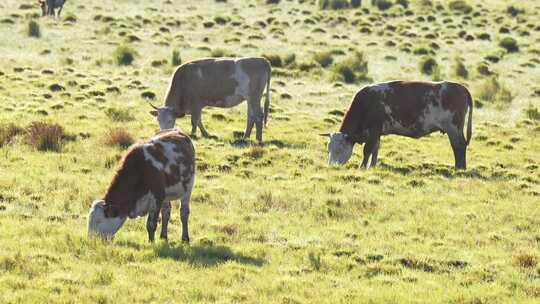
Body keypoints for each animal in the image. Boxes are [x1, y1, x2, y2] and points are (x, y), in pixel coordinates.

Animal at [320, 80, 472, 169]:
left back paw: (459, 168)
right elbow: (375, 149)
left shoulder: (374, 130)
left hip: (453, 128)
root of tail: (461, 88)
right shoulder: (377, 133)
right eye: (328, 149)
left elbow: (367, 150)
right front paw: (372, 166)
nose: (332, 166)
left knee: (458, 146)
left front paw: (362, 167)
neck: (367, 103)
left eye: (339, 149)